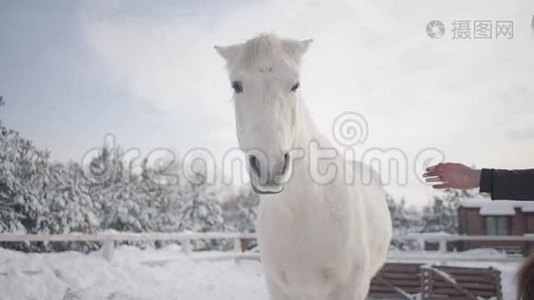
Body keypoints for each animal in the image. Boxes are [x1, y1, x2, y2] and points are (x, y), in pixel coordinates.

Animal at [215, 34, 394, 298]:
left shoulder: (350, 288)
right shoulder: (279, 289)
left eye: (295, 85)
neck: (301, 211)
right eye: (236, 85)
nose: (271, 166)